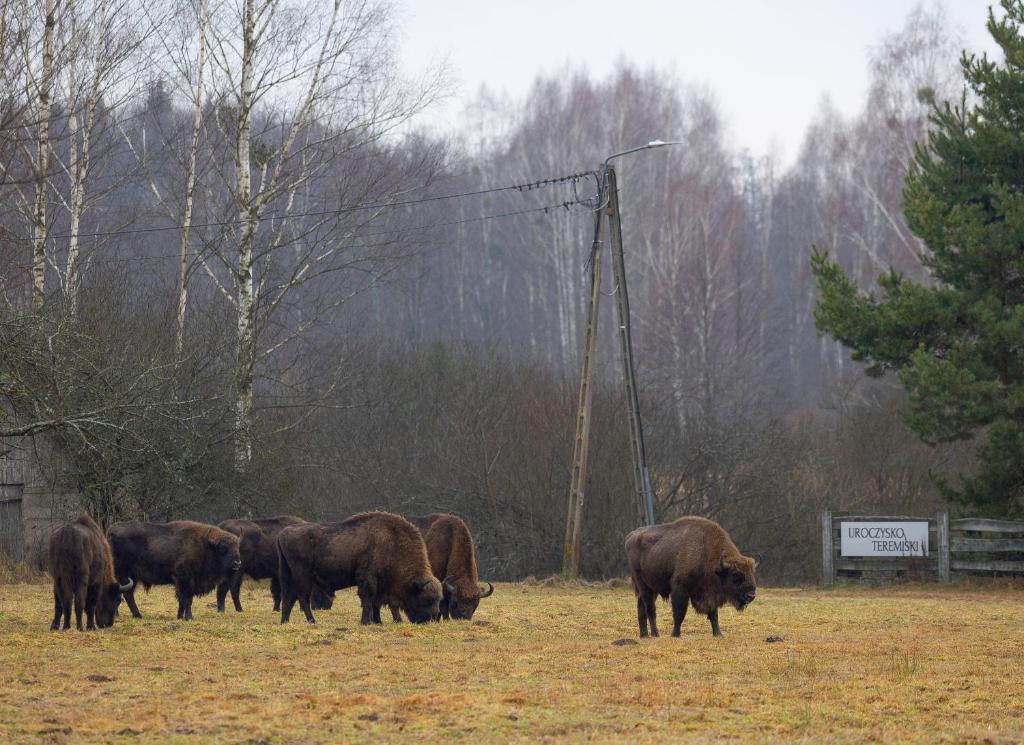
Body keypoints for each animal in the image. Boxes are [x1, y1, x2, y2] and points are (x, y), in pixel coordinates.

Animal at [107, 517, 241, 622]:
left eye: (237, 546)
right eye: (223, 548)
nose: (237, 563)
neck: (206, 545)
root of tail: (111, 532)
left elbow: (181, 599)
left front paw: (180, 616)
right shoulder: (185, 579)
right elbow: (187, 598)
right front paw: (189, 617)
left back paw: (120, 615)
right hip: (126, 575)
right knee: (128, 594)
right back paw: (138, 615)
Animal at [278, 509, 442, 626]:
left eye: (438, 599)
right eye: (426, 599)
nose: (432, 619)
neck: (393, 543)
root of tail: (283, 533)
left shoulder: (381, 585)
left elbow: (378, 602)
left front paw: (378, 621)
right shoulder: (369, 579)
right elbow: (368, 599)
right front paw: (366, 622)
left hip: (292, 577)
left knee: (289, 598)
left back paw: (285, 621)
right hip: (303, 577)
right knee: (302, 598)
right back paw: (312, 621)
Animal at [618, 515, 757, 638]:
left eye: (751, 574)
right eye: (736, 576)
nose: (751, 596)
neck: (705, 551)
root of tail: (630, 536)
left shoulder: (710, 593)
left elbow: (713, 614)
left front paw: (718, 634)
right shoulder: (680, 589)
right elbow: (679, 613)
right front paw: (675, 634)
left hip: (651, 587)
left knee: (641, 607)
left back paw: (644, 635)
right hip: (643, 585)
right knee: (650, 608)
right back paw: (655, 634)